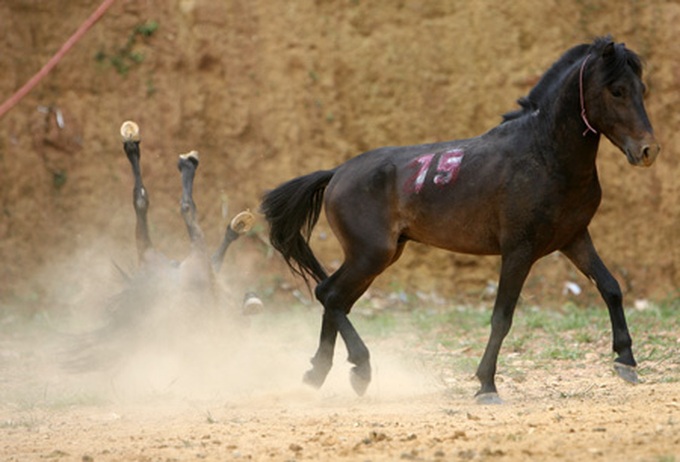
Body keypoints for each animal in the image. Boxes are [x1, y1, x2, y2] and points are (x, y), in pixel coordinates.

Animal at [260, 36, 660, 403]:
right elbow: (502, 317)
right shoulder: (519, 250)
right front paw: (486, 385)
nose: (648, 150)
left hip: (379, 257)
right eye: (617, 90)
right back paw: (359, 368)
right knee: (329, 295)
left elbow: (610, 287)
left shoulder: (574, 238)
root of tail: (337, 173)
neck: (545, 155)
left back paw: (318, 373)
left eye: (641, 89)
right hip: (370, 255)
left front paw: (626, 361)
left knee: (335, 300)